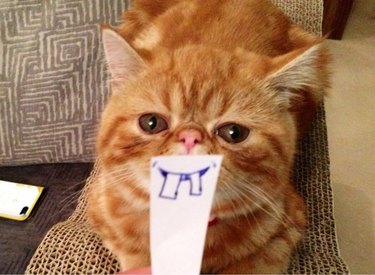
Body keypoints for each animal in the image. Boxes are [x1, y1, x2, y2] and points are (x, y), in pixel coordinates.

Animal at [86, 0, 330, 274]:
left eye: (233, 133)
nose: (190, 137)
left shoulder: (285, 232)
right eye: (151, 123)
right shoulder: (104, 215)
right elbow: (137, 256)